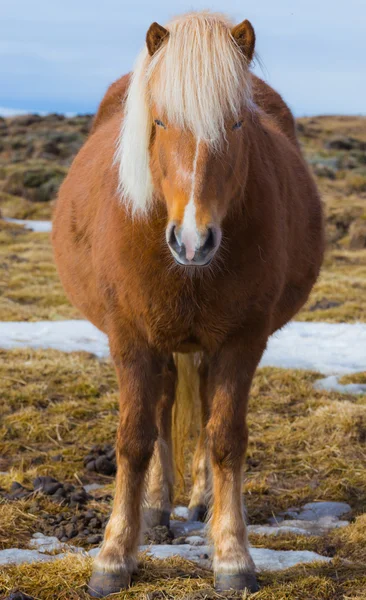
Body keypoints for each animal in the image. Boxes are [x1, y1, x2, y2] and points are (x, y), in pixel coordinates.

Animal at [52, 10, 324, 600]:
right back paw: (157, 508)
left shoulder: (242, 340)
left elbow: (224, 439)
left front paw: (233, 556)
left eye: (239, 124)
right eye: (158, 120)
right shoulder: (130, 337)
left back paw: (199, 501)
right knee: (160, 411)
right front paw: (114, 556)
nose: (194, 240)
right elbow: (134, 440)